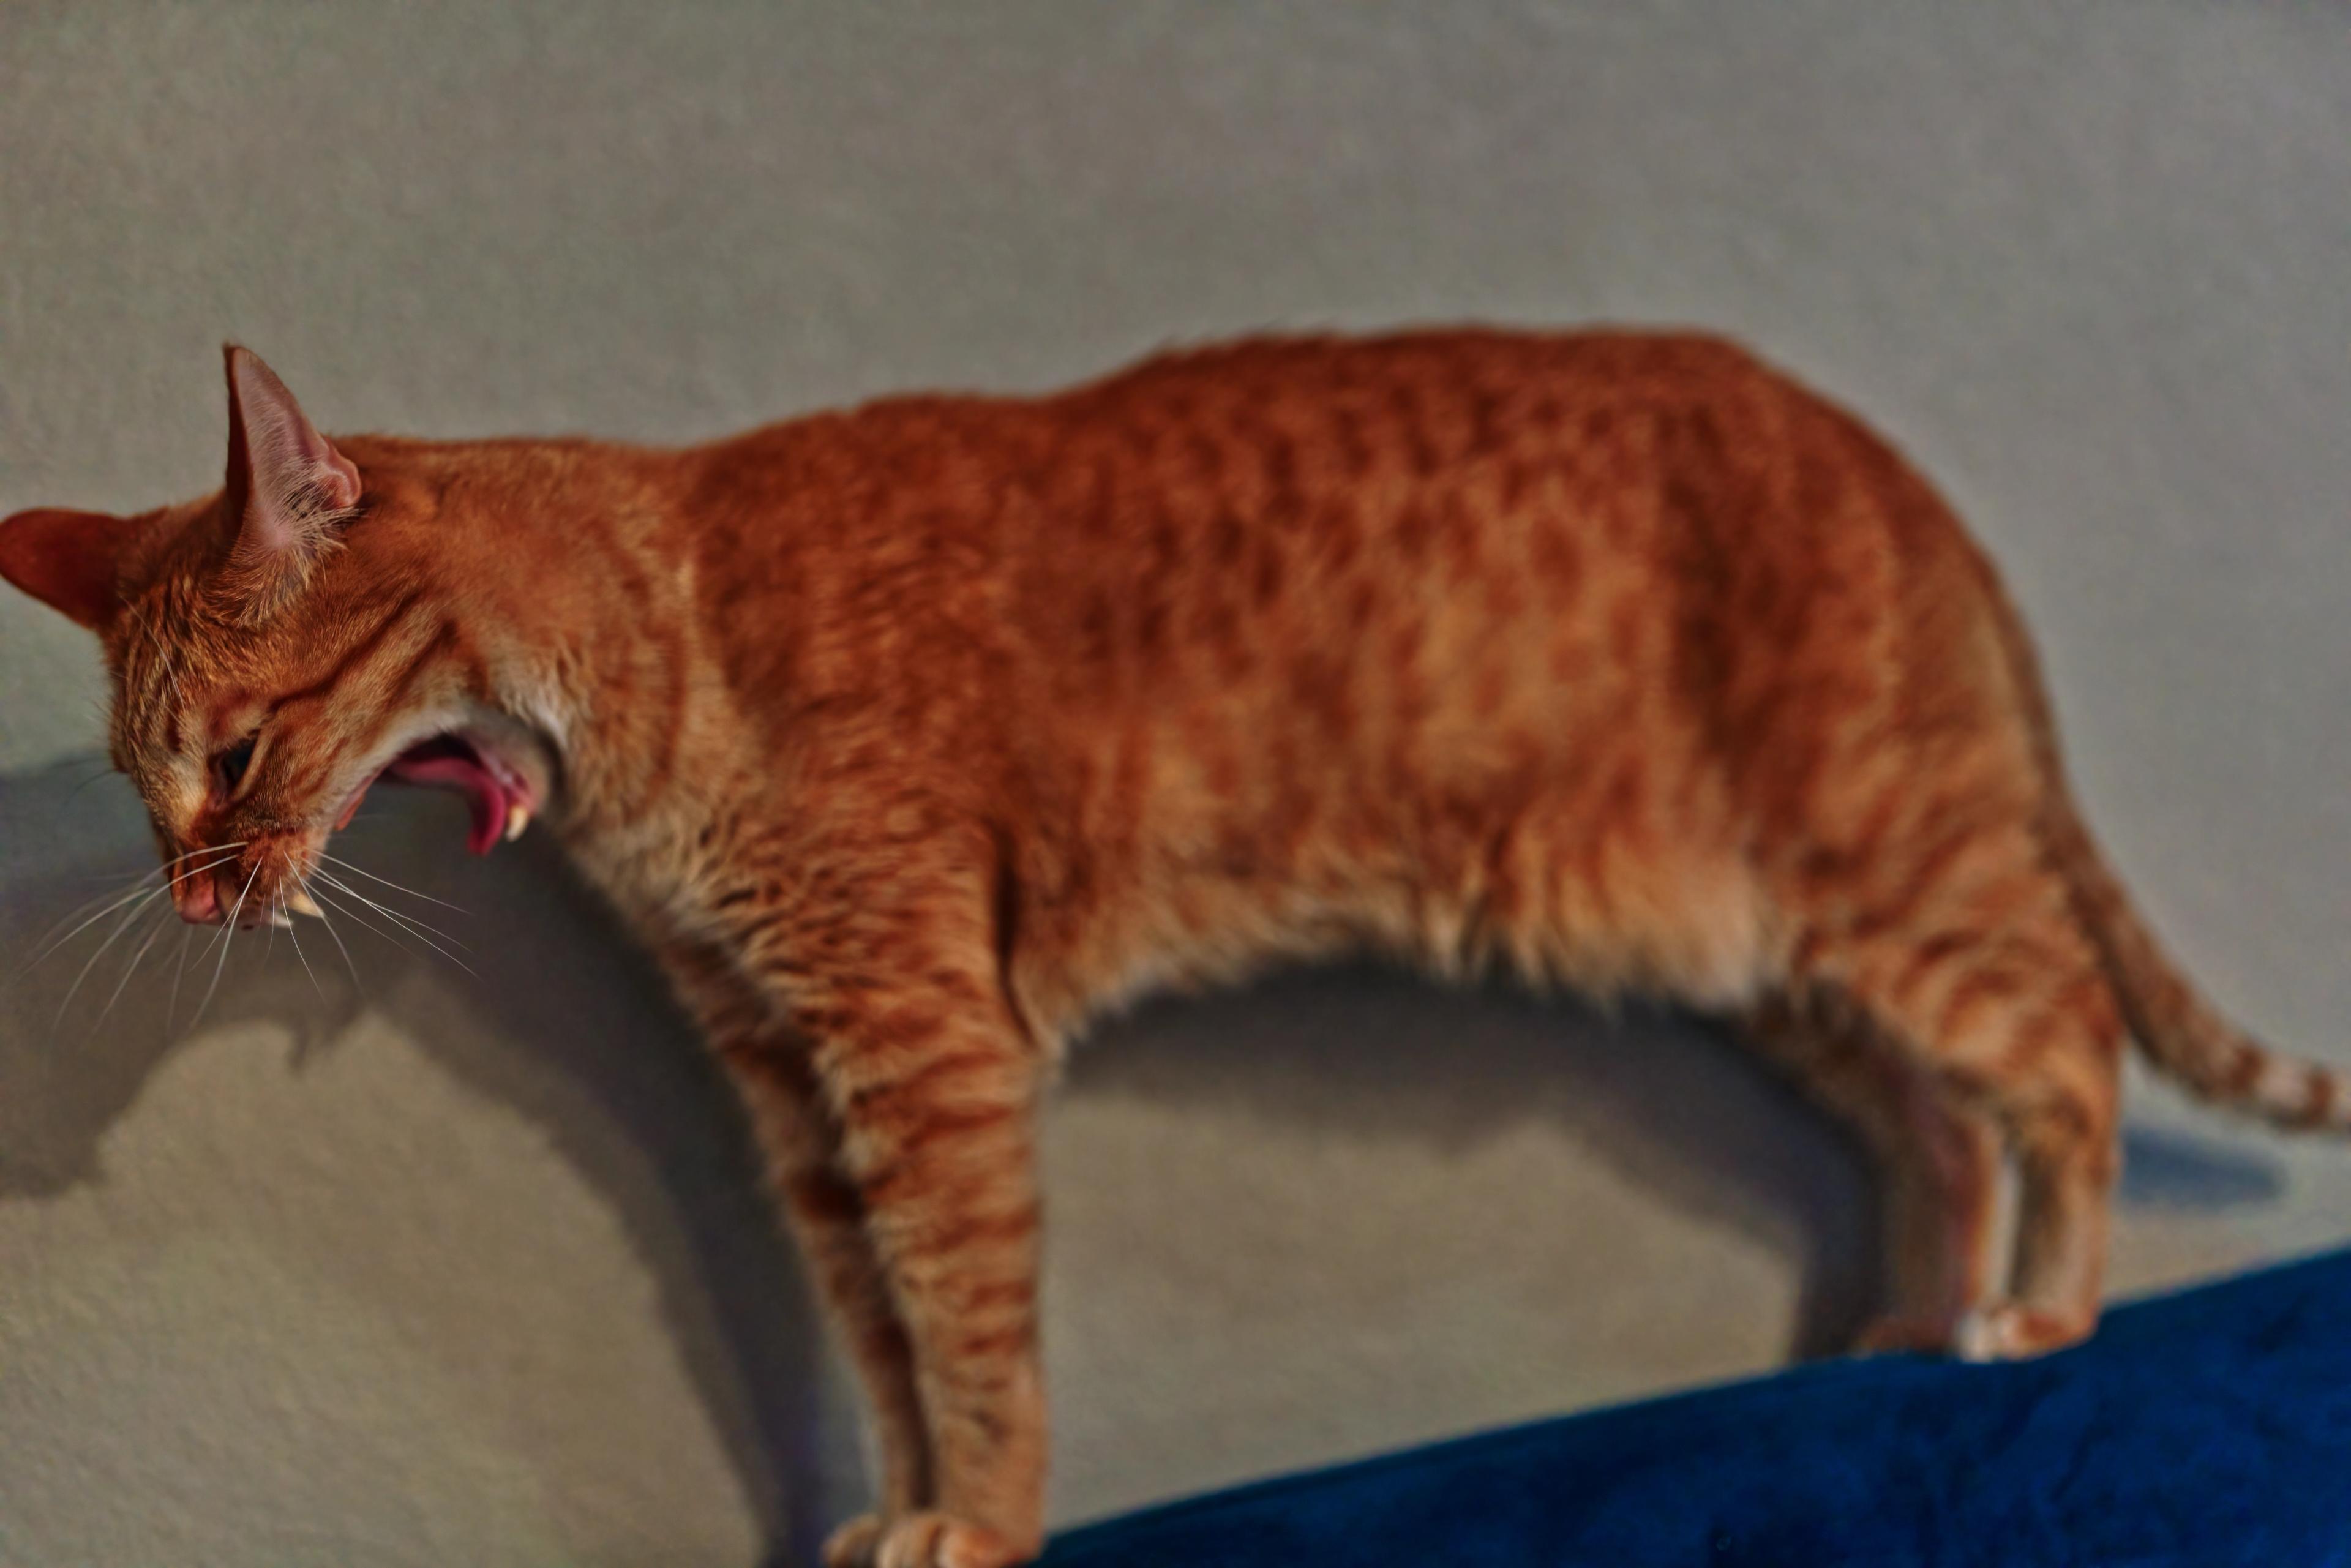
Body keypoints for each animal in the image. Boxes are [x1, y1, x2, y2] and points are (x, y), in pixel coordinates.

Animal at [0, 334, 2332, 1568]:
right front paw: (908, 1513)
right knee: (1938, 1122)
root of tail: (1867, 441)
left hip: (1873, 874)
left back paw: (2043, 1315)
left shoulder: (919, 1048)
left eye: (230, 752)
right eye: (139, 790)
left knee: (2062, 1053)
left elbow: (971, 1335)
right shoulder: (795, 1096)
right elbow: (882, 1347)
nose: (196, 895)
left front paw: (986, 1523)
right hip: (1766, 964)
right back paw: (1909, 1324)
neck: (663, 631)